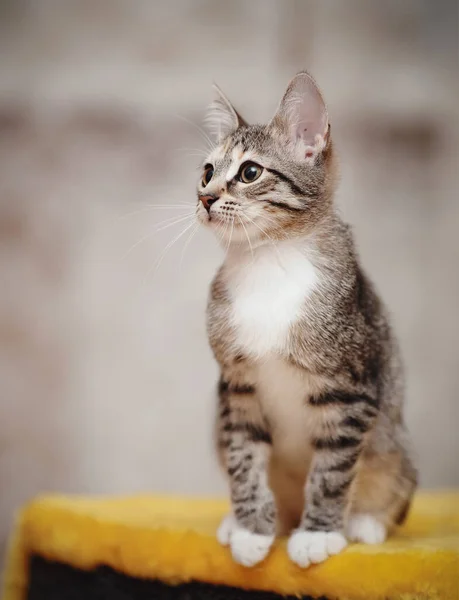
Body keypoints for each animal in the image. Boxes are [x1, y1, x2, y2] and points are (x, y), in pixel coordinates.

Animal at [196, 72, 418, 568]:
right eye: (206, 171)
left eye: (250, 172)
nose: (204, 197)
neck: (267, 262)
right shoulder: (236, 387)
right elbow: (243, 458)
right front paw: (251, 529)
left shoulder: (352, 387)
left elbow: (332, 471)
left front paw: (319, 533)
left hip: (393, 444)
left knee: (393, 482)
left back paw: (364, 522)